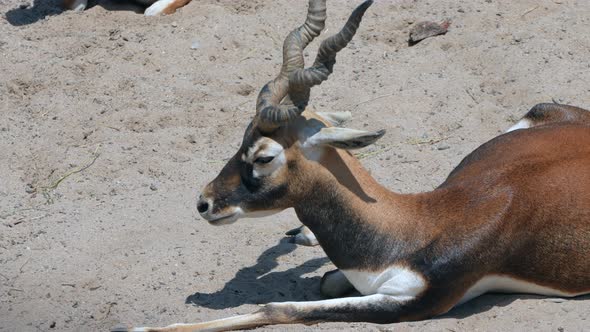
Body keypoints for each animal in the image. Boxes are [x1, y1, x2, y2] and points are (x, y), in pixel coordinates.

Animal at [126, 0, 590, 330]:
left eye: (264, 156)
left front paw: (138, 329)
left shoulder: (407, 305)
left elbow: (281, 307)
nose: (205, 202)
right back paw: (303, 234)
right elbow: (324, 280)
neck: (411, 227)